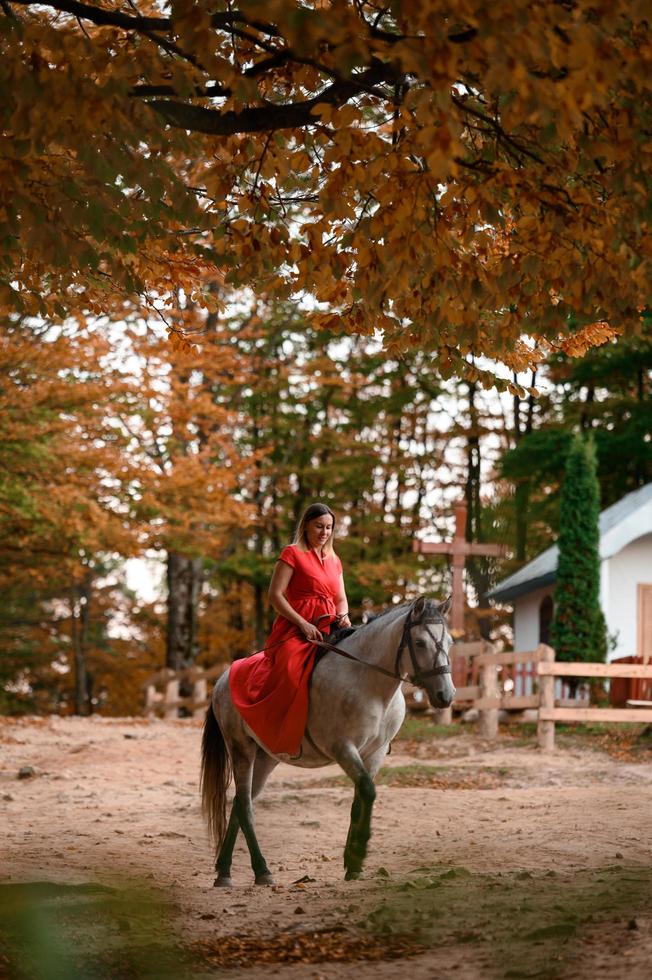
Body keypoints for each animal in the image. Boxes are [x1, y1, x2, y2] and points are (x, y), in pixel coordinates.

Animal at [201, 592, 456, 884]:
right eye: (420, 642)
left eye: (450, 642)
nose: (446, 696)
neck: (368, 683)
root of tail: (222, 679)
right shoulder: (343, 748)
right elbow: (368, 790)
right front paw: (358, 854)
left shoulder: (375, 753)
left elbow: (360, 799)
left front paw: (353, 865)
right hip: (241, 750)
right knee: (244, 806)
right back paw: (261, 871)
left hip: (266, 758)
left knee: (239, 804)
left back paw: (224, 871)